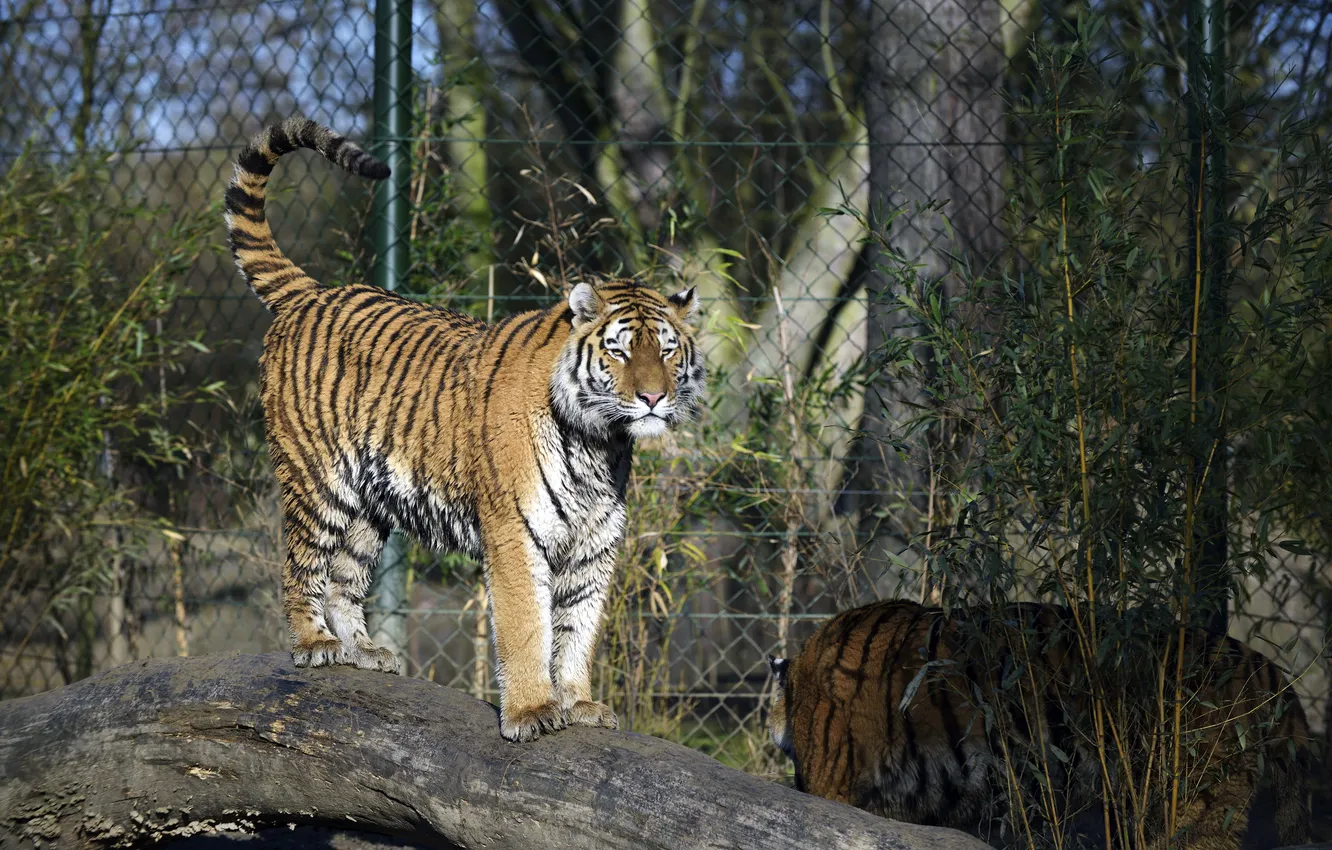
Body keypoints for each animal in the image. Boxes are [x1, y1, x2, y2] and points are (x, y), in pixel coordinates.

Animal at [224, 117, 705, 742]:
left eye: (668, 351)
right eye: (620, 351)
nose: (652, 397)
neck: (599, 442)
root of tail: (315, 292)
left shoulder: (593, 546)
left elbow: (578, 631)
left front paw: (579, 703)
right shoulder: (516, 533)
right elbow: (527, 627)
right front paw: (531, 712)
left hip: (368, 506)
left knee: (344, 578)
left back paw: (363, 651)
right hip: (316, 478)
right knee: (301, 565)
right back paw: (314, 643)